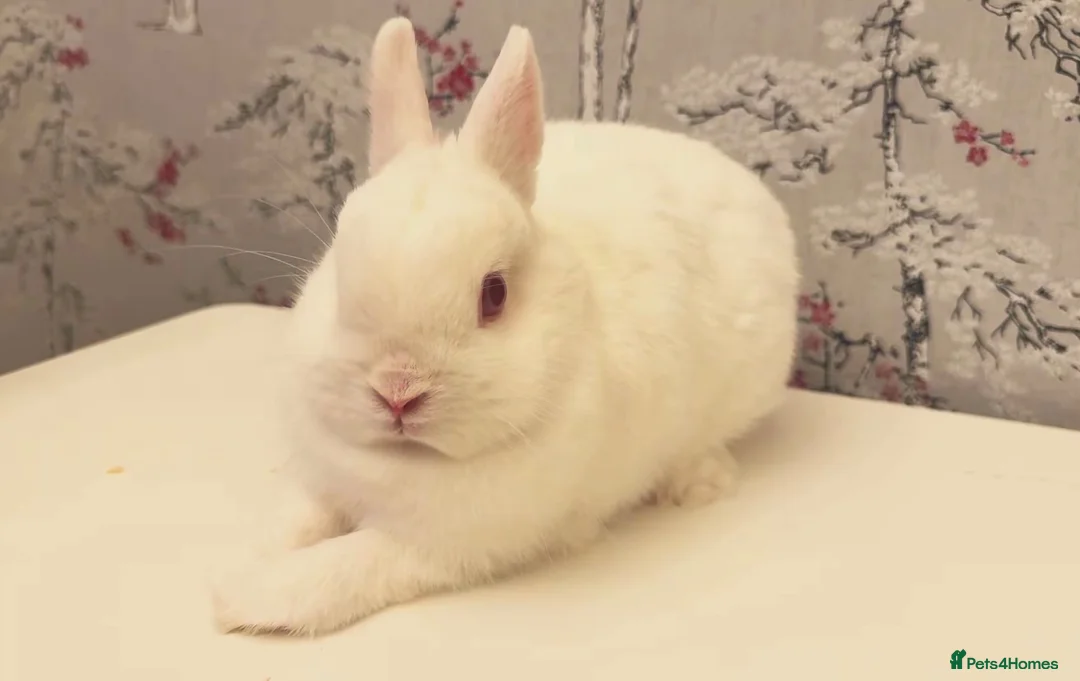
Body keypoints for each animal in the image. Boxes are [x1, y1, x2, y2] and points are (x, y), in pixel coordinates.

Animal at [210, 16, 799, 636]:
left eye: (494, 295)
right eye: (340, 275)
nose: (397, 391)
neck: (404, 460)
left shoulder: (441, 547)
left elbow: (348, 566)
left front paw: (245, 597)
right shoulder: (321, 483)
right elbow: (293, 522)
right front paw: (243, 563)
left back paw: (697, 484)